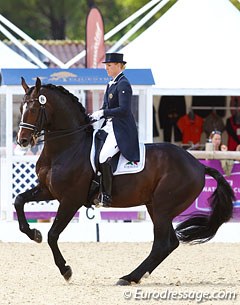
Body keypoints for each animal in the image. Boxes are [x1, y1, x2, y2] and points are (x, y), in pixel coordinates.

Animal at [15, 76, 235, 284]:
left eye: (33, 109)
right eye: (21, 107)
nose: (22, 140)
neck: (67, 147)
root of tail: (198, 165)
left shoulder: (70, 200)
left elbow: (53, 235)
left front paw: (65, 270)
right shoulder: (48, 190)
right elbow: (19, 200)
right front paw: (34, 233)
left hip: (163, 207)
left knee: (162, 243)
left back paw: (129, 277)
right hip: (155, 206)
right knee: (169, 243)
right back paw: (135, 276)